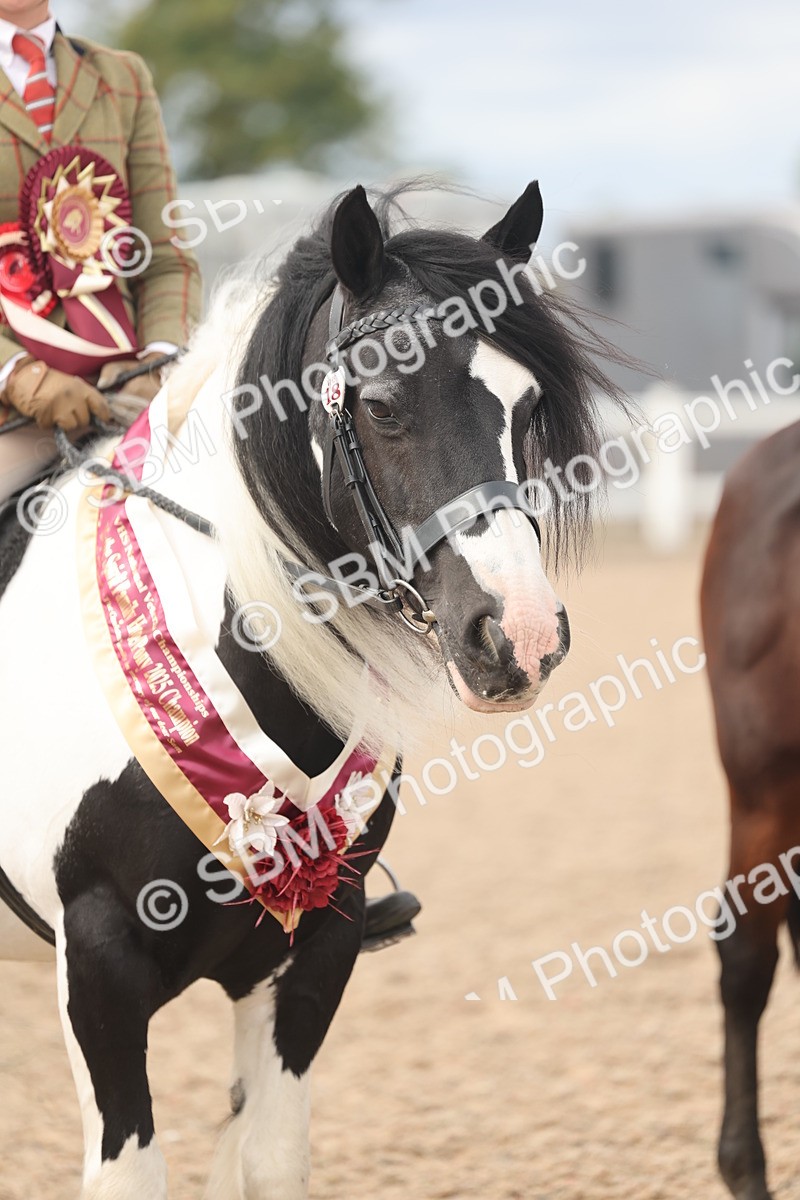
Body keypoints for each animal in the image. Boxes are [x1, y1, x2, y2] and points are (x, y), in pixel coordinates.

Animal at [0, 179, 626, 1199]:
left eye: (527, 403)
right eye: (381, 404)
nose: (522, 638)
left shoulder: (311, 951)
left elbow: (271, 1157)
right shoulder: (98, 964)